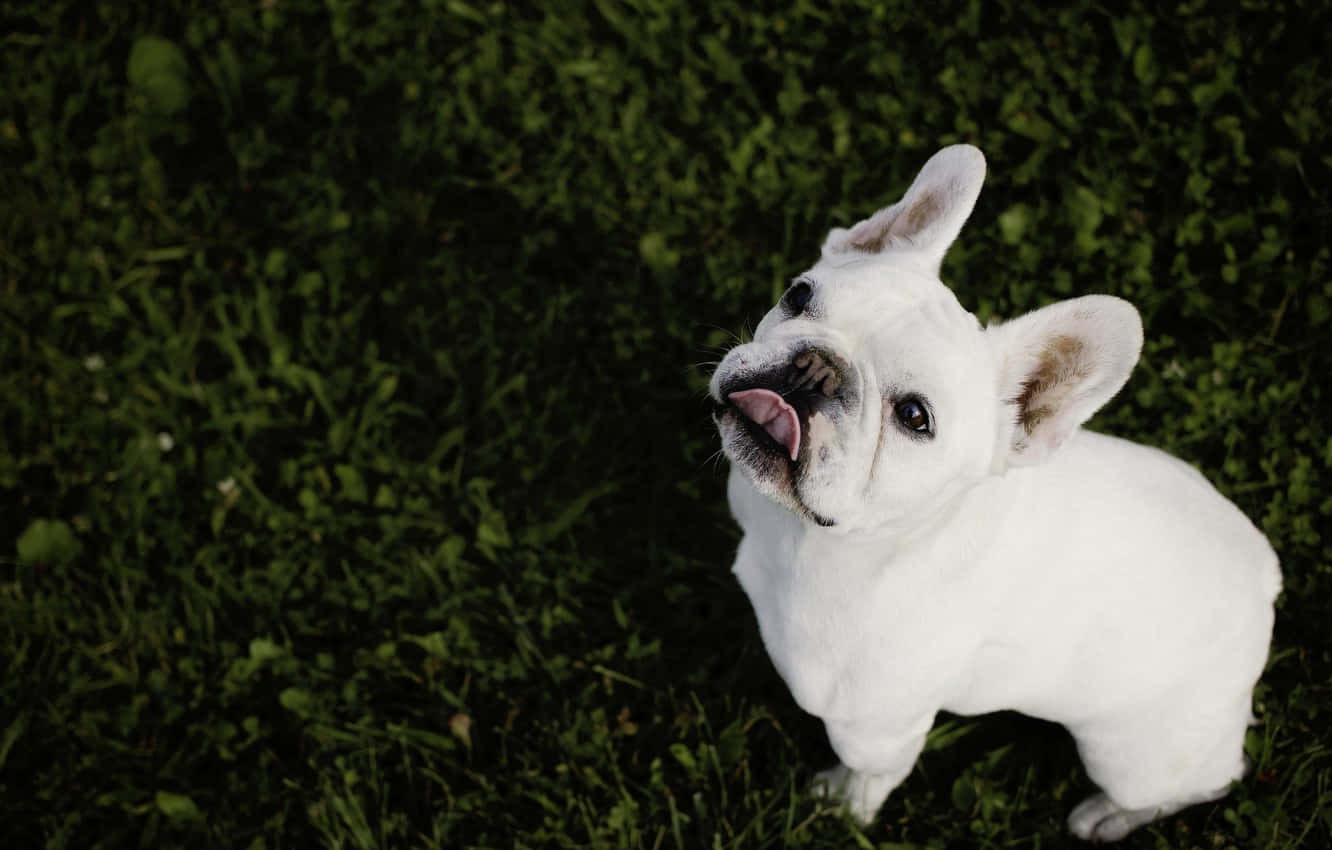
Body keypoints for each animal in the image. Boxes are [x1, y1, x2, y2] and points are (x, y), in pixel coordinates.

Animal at [708, 143, 1278, 842]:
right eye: (797, 296)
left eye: (915, 417)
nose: (815, 369)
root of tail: (1264, 577)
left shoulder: (876, 726)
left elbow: (870, 776)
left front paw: (843, 807)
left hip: (1132, 754)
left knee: (1207, 779)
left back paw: (1108, 817)